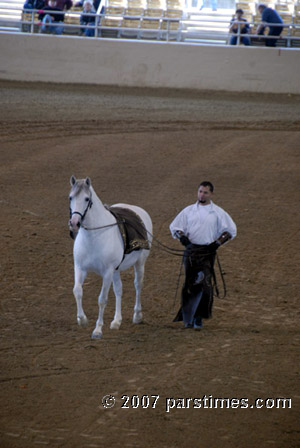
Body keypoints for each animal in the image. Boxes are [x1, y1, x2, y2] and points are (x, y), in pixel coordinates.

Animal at [68, 177, 152, 338]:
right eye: (70, 197)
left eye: (87, 199)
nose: (74, 223)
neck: (93, 237)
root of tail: (139, 211)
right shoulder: (80, 268)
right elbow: (77, 291)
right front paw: (82, 320)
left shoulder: (107, 272)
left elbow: (102, 299)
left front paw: (97, 330)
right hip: (116, 270)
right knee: (118, 289)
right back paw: (116, 321)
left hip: (140, 263)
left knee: (138, 285)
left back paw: (137, 316)